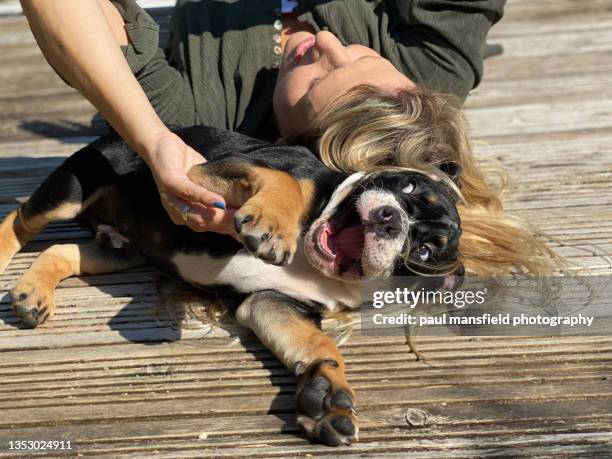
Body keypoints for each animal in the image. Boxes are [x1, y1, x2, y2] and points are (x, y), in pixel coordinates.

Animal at [0, 126, 462, 446]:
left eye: (424, 252)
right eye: (408, 185)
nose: (390, 220)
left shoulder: (270, 304)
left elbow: (319, 345)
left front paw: (330, 397)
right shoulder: (218, 169)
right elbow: (286, 182)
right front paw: (274, 224)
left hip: (127, 251)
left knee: (64, 249)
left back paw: (34, 293)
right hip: (75, 186)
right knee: (22, 218)